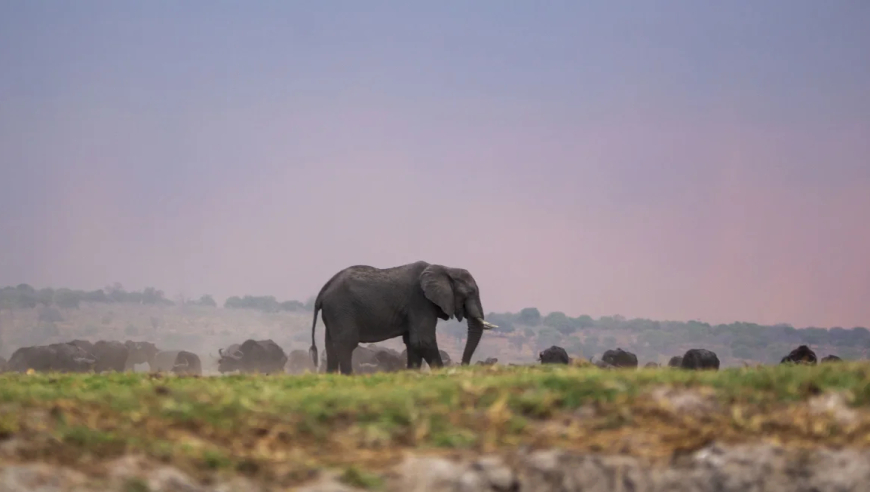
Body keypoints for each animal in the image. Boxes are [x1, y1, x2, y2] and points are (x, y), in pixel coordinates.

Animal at [310, 262, 498, 372]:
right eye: (470, 293)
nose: (464, 366)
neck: (445, 268)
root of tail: (323, 290)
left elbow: (412, 343)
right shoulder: (420, 301)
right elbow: (423, 341)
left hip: (333, 313)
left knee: (331, 347)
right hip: (341, 309)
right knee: (346, 344)